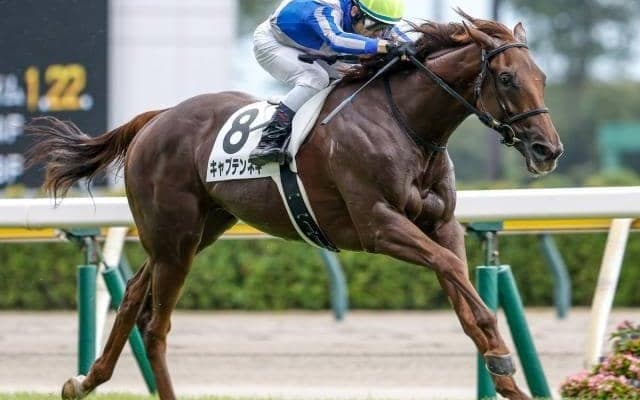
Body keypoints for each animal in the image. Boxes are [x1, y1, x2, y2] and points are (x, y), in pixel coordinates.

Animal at [26, 11, 562, 400]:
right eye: (507, 79)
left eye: (542, 76)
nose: (548, 150)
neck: (407, 124)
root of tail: (157, 118)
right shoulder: (378, 226)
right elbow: (456, 276)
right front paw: (501, 354)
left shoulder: (442, 224)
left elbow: (459, 287)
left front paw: (507, 380)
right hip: (175, 239)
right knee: (156, 325)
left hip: (193, 234)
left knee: (134, 298)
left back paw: (84, 380)